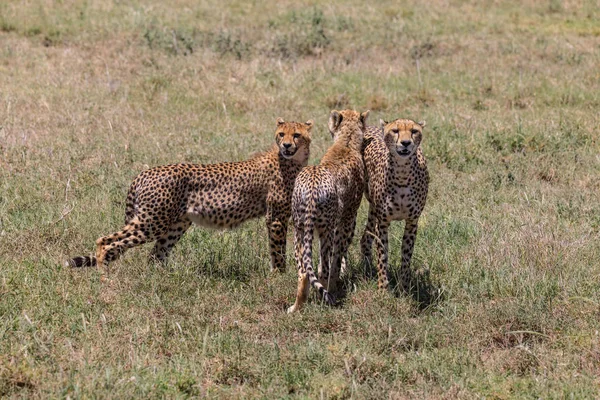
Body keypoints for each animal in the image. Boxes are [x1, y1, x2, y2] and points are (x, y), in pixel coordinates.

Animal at [68, 117, 314, 276]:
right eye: (281, 134)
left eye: (297, 135)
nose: (286, 145)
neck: (291, 161)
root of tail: (145, 172)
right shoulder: (276, 218)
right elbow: (278, 250)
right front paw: (280, 276)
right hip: (152, 221)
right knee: (105, 242)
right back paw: (104, 278)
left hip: (175, 223)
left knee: (155, 254)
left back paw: (166, 280)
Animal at [288, 109, 368, 312]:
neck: (346, 143)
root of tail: (312, 186)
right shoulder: (347, 221)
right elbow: (337, 259)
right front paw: (334, 286)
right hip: (326, 230)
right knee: (324, 268)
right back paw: (326, 298)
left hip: (299, 228)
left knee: (303, 271)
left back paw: (296, 307)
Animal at [358, 118, 428, 290]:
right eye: (395, 130)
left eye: (414, 131)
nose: (405, 143)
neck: (402, 174)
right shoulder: (383, 223)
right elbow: (383, 255)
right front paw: (383, 288)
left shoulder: (412, 222)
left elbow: (406, 255)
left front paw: (404, 287)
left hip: (373, 209)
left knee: (365, 238)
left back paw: (367, 269)